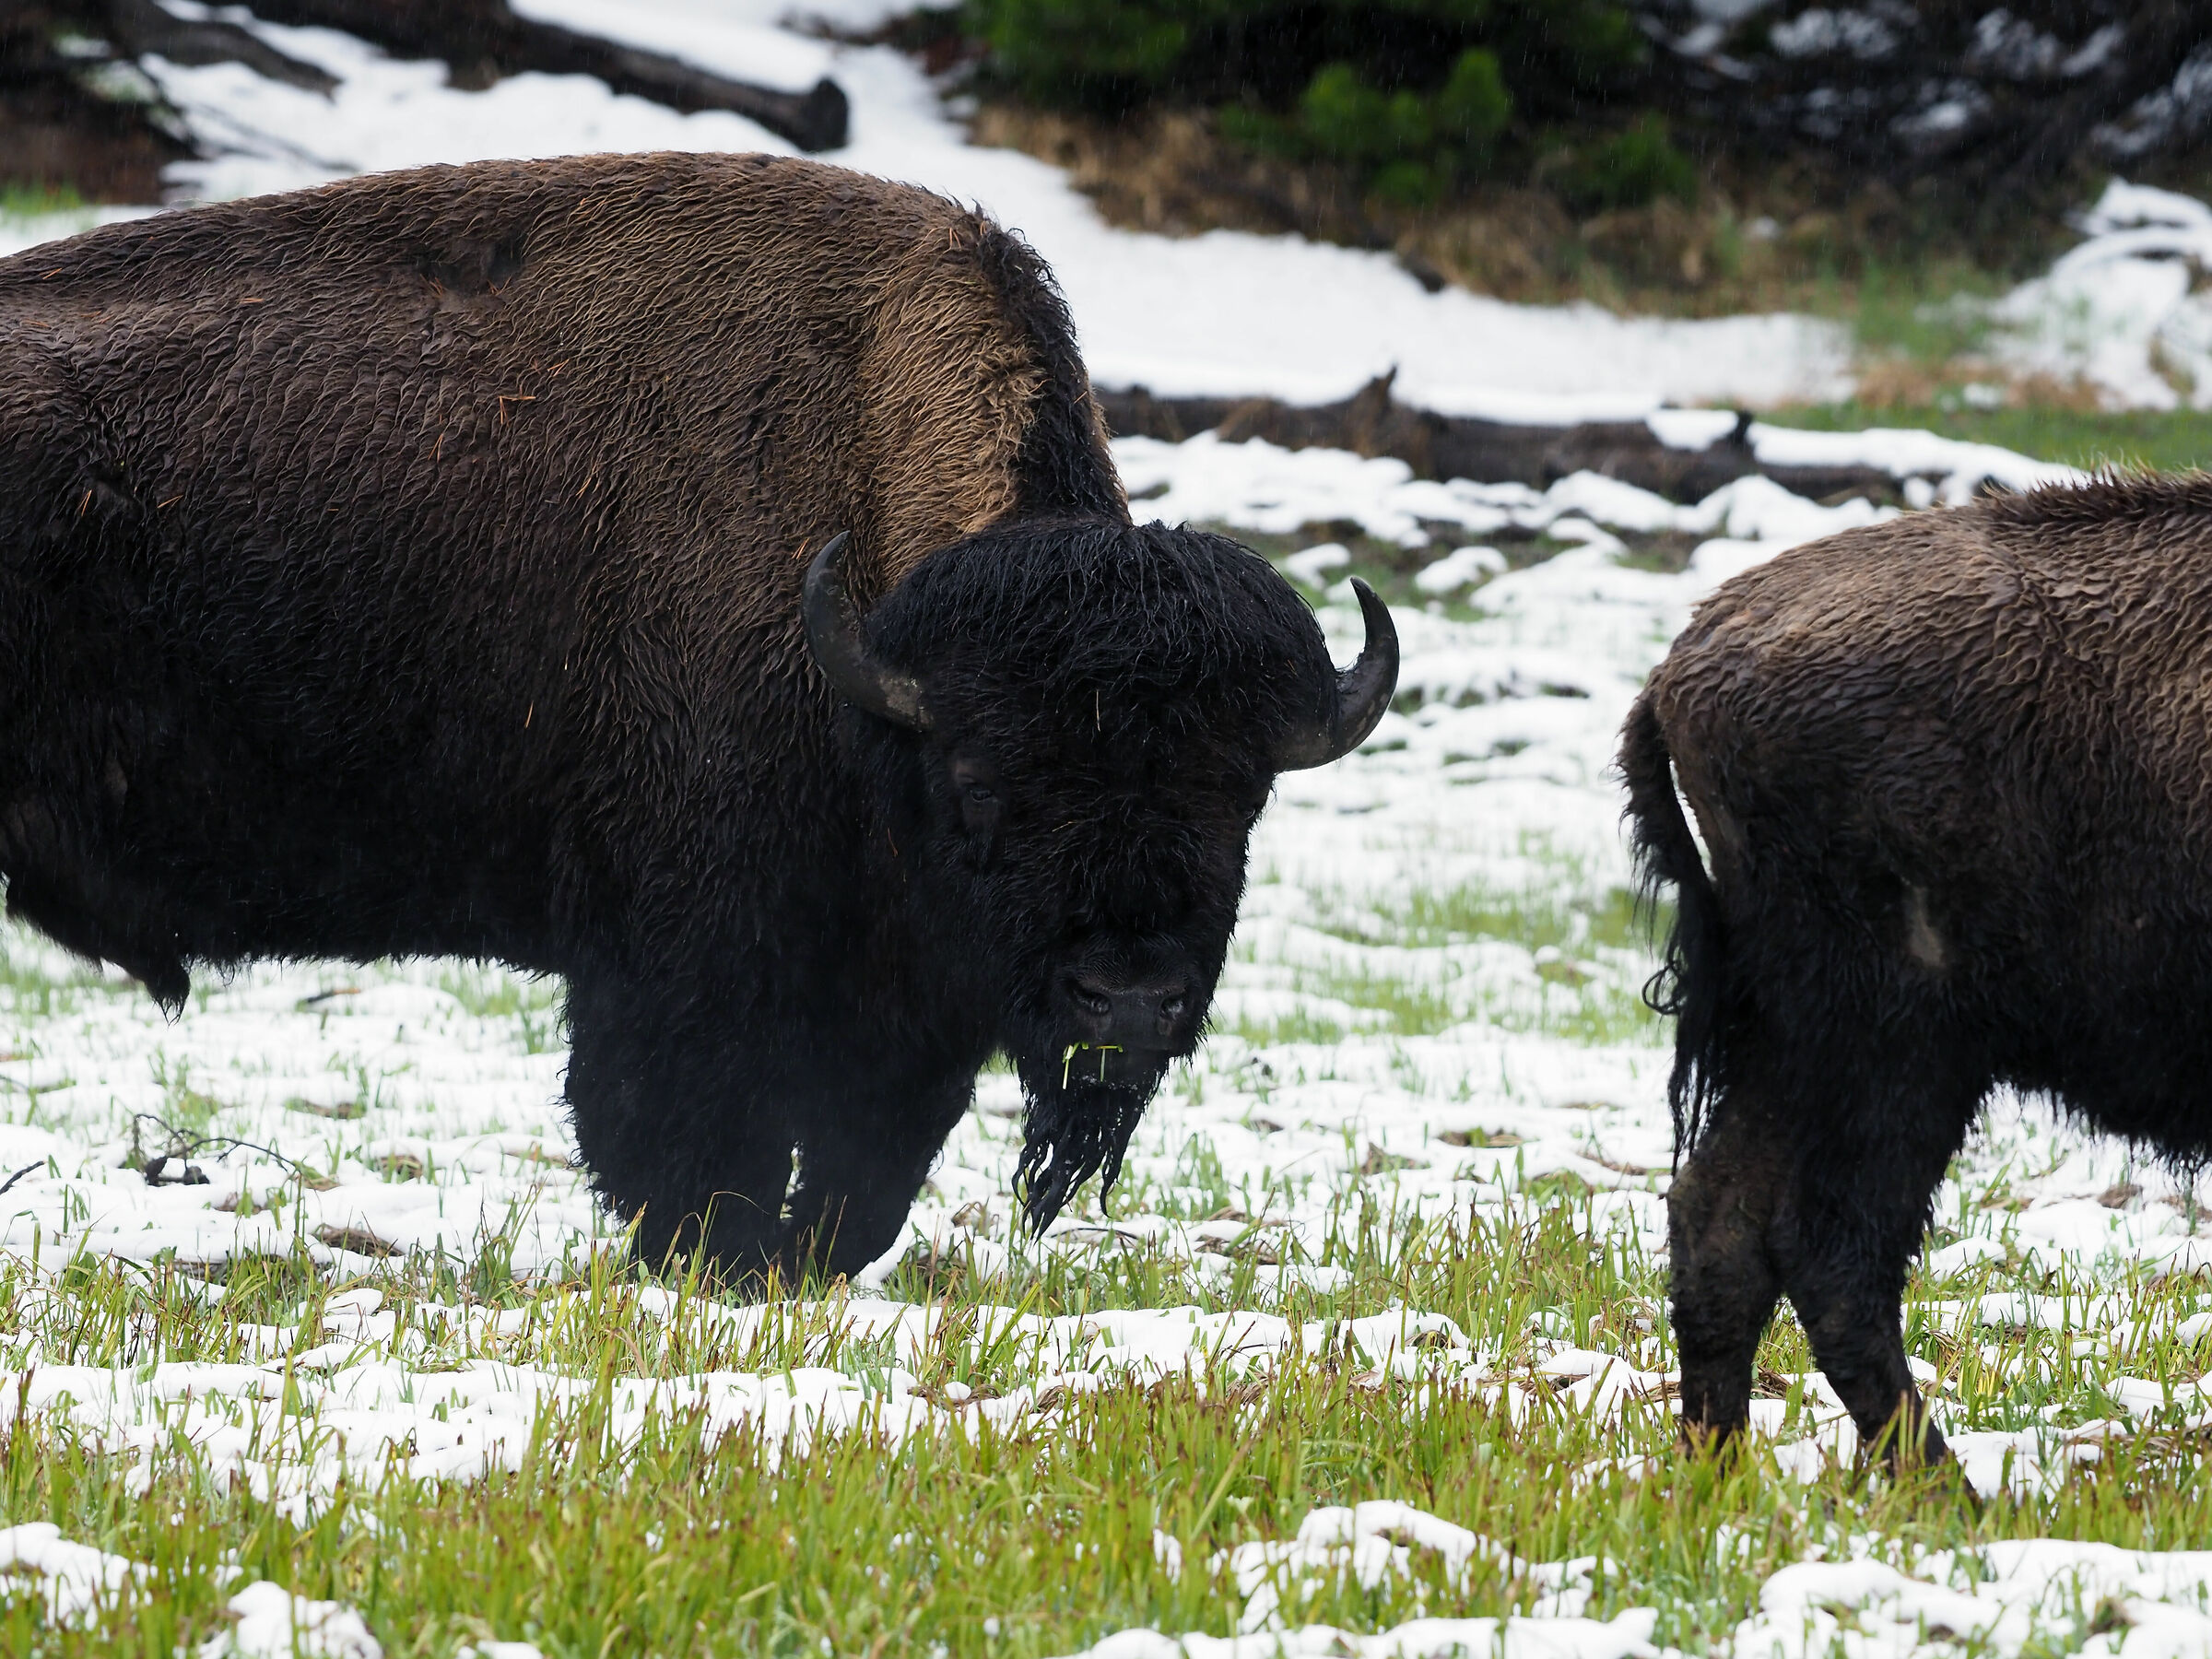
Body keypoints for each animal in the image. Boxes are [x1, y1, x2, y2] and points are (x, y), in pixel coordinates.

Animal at [0, 152, 1396, 1282]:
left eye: (1241, 797)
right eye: (984, 787)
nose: (1128, 1004)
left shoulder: (909, 1009)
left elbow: (860, 1188)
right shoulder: (684, 967)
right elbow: (690, 1151)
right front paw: (710, 1265)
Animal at [1622, 473, 2212, 1466]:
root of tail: (1680, 669)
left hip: (1810, 1041)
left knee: (1723, 1222)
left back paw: (1723, 1479)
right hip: (1898, 1044)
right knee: (1833, 1252)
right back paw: (1942, 1488)